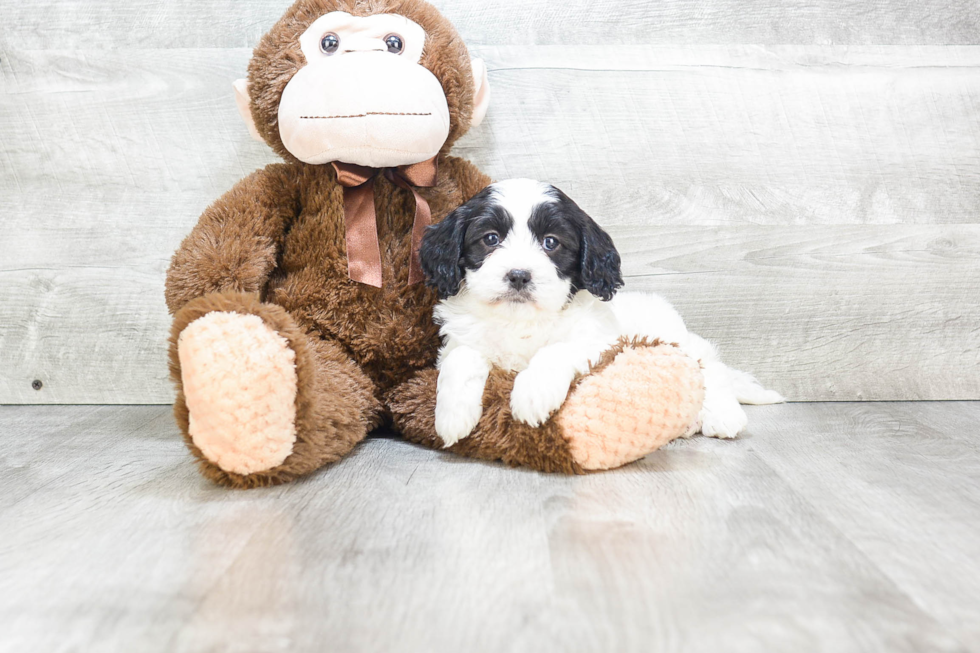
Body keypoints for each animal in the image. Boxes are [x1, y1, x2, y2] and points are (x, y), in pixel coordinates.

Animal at [418, 178, 784, 446]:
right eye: (490, 238)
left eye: (551, 242)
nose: (519, 275)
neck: (522, 321)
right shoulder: (460, 340)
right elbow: (461, 358)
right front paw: (452, 416)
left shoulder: (601, 340)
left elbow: (555, 350)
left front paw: (533, 393)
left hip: (676, 338)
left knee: (709, 368)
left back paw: (722, 414)